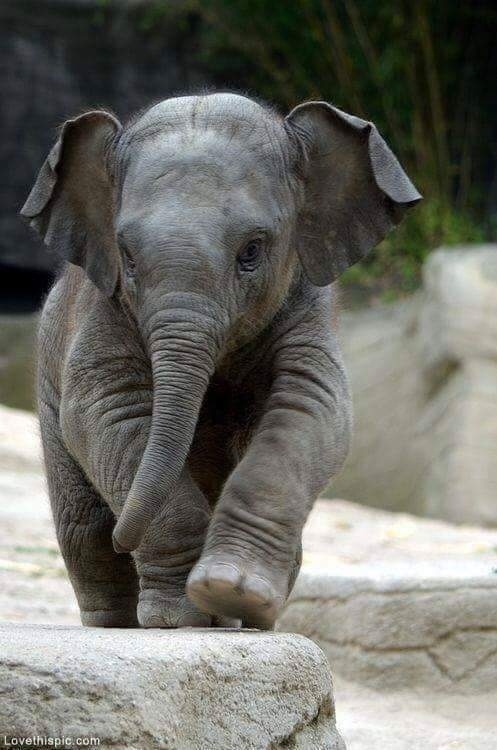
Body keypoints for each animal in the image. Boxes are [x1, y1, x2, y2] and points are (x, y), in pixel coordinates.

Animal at [21, 93, 420, 629]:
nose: (124, 537)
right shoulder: (102, 309)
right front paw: (179, 619)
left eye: (251, 251)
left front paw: (233, 592)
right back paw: (121, 623)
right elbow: (108, 411)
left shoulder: (307, 307)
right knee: (83, 529)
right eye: (127, 258)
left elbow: (311, 409)